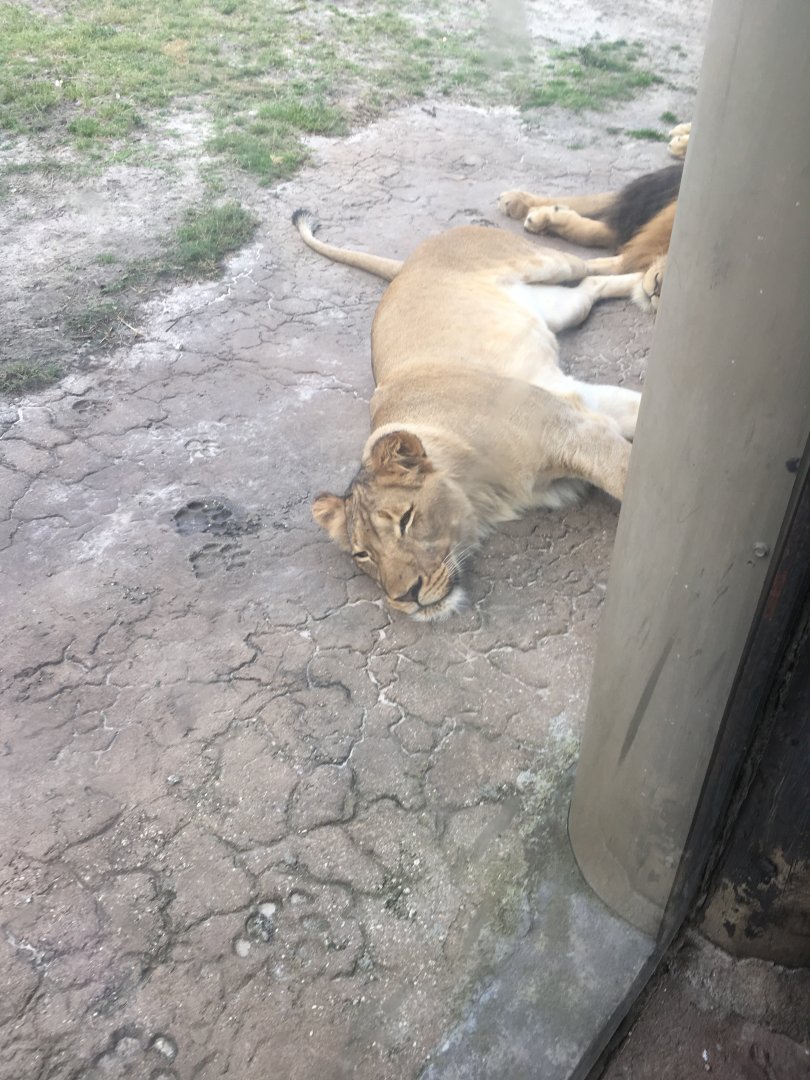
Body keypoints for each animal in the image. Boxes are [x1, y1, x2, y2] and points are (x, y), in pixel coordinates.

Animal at [293, 210, 644, 620]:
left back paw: (653, 277)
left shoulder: (570, 431)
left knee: (598, 262)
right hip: (561, 308)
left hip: (544, 261)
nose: (405, 596)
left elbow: (627, 473)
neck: (480, 489)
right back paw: (643, 285)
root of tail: (407, 264)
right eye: (363, 554)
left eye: (406, 519)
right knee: (591, 285)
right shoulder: (583, 408)